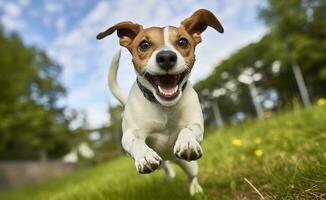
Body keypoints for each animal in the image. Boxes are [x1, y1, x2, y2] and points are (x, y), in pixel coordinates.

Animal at [97, 9, 224, 195]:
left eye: (182, 42)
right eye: (144, 45)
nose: (166, 57)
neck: (165, 107)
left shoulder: (196, 125)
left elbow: (188, 129)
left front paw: (186, 142)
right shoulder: (129, 135)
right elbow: (135, 140)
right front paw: (144, 156)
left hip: (188, 165)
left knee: (191, 176)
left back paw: (195, 190)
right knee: (165, 166)